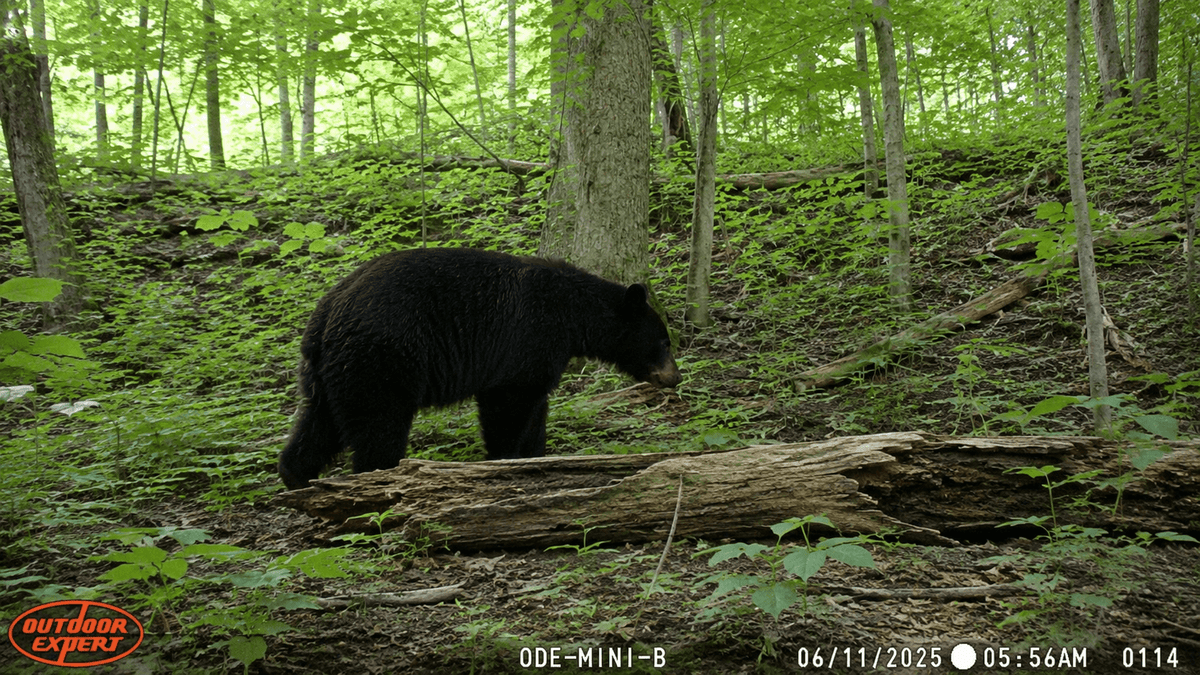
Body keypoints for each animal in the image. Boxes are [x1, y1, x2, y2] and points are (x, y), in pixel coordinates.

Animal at [278, 247, 682, 490]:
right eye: (664, 342)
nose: (674, 377)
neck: (572, 315)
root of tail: (325, 316)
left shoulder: (542, 355)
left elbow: (537, 407)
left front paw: (536, 456)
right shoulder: (527, 337)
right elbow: (507, 405)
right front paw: (501, 463)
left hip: (331, 374)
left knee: (319, 422)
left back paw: (296, 476)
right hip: (380, 360)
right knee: (378, 428)